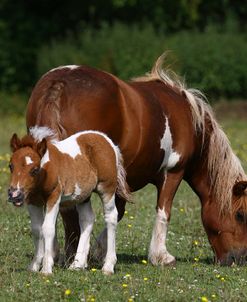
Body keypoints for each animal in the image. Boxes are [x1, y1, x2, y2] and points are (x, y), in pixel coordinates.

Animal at [7, 129, 130, 274]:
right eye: (11, 166)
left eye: (34, 169)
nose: (15, 195)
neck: (47, 170)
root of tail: (106, 140)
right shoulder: (33, 201)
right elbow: (37, 229)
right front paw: (34, 266)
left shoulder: (54, 197)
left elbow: (48, 228)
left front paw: (46, 268)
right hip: (84, 195)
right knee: (87, 219)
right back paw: (77, 264)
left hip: (107, 188)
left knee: (111, 217)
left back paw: (108, 266)